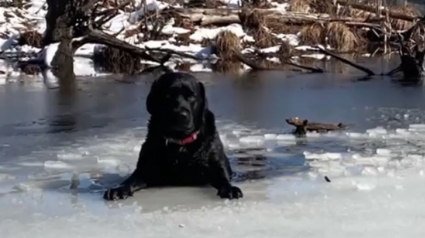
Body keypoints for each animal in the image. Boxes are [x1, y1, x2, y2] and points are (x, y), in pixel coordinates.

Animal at [102, 71, 242, 200]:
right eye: (167, 95)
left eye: (191, 96)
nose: (180, 114)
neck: (181, 143)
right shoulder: (144, 168)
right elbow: (130, 180)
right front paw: (119, 189)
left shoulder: (216, 162)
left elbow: (223, 177)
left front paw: (230, 189)